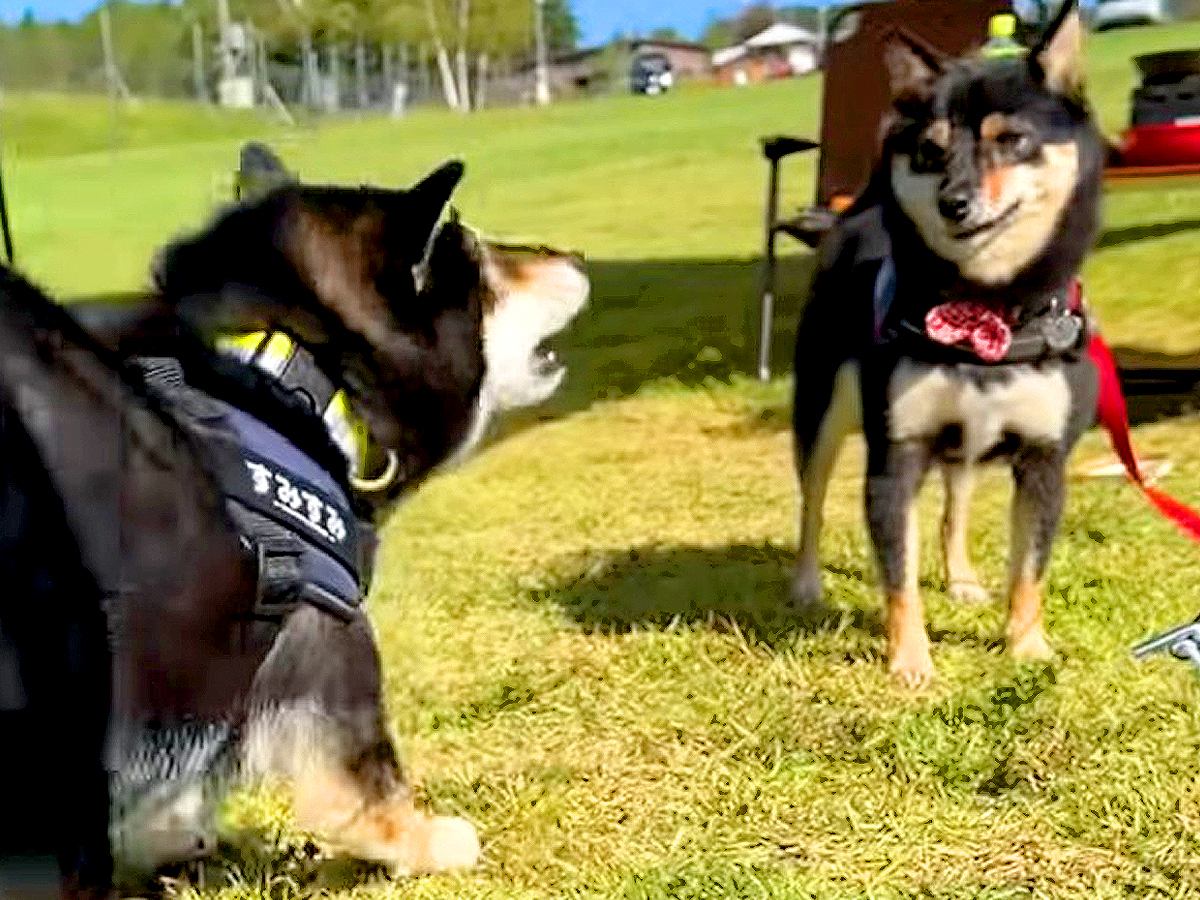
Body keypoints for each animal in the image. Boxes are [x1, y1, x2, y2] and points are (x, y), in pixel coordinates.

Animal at [787, 0, 1104, 686]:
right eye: (930, 151)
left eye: (1010, 140)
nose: (952, 201)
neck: (986, 306)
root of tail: (861, 212)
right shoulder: (896, 457)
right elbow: (898, 576)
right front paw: (910, 662)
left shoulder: (1044, 461)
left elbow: (1029, 569)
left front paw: (1026, 647)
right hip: (820, 418)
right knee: (812, 505)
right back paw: (805, 584)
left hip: (965, 449)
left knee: (952, 513)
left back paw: (959, 580)